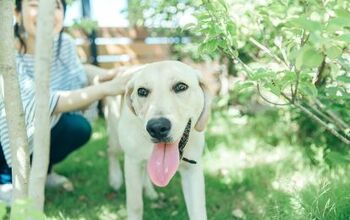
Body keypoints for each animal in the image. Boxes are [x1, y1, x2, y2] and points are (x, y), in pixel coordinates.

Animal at [105, 60, 212, 220]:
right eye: (142, 91)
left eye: (181, 87)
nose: (157, 127)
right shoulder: (132, 163)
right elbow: (135, 205)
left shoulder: (193, 170)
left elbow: (198, 211)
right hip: (115, 133)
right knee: (111, 152)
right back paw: (115, 179)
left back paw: (149, 191)